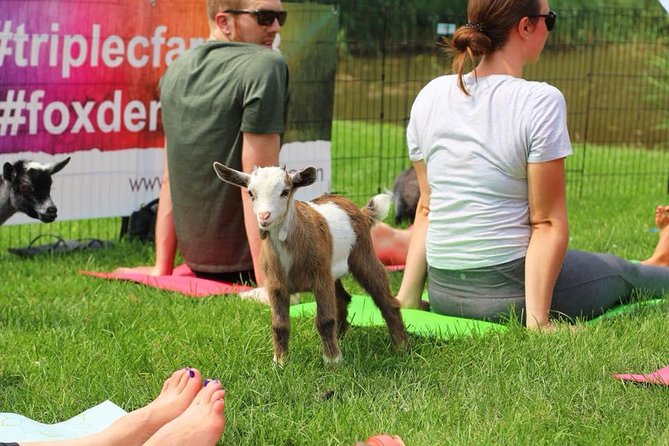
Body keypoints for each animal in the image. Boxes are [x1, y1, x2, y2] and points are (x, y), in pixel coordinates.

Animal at [213, 163, 409, 365]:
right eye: (251, 193)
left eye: (285, 191)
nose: (264, 216)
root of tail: (360, 211)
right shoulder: (276, 285)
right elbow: (279, 325)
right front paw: (280, 362)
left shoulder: (320, 279)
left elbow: (325, 320)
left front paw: (333, 361)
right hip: (332, 271)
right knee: (342, 299)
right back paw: (341, 337)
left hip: (362, 255)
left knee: (386, 299)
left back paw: (401, 348)